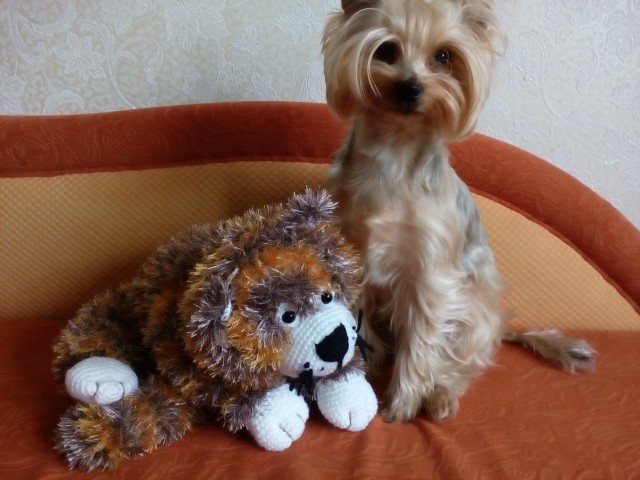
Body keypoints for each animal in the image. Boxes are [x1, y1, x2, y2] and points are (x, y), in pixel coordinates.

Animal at [322, 0, 596, 423]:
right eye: (386, 50)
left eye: (443, 57)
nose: (410, 88)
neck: (395, 147)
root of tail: (500, 328)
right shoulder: (352, 252)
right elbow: (357, 318)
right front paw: (358, 373)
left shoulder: (431, 273)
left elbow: (421, 341)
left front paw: (401, 404)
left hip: (472, 316)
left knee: (458, 363)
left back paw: (439, 396)